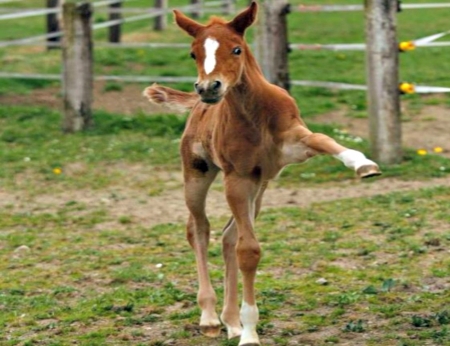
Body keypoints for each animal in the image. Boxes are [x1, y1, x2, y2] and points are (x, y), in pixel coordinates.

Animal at [144, 2, 380, 344]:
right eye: (193, 53)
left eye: (237, 49)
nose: (208, 88)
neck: (254, 115)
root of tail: (196, 108)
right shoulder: (237, 178)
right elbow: (249, 251)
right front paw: (250, 333)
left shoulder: (293, 145)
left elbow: (323, 139)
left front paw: (363, 164)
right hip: (199, 174)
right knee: (199, 229)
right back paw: (210, 317)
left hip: (259, 189)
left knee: (227, 236)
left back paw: (230, 322)